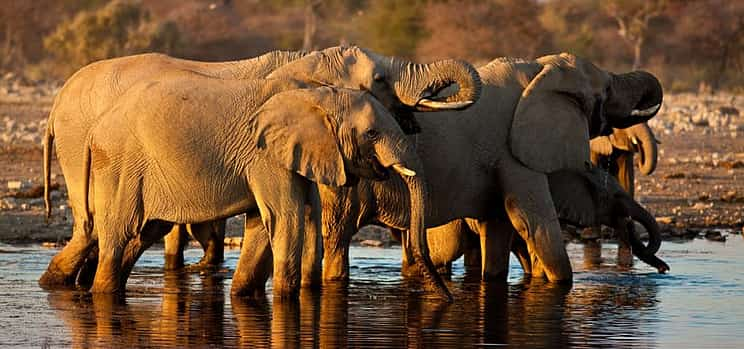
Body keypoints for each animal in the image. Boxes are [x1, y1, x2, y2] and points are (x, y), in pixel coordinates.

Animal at [40, 46, 482, 290]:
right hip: (89, 149)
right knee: (97, 228)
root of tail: (58, 99)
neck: (310, 61)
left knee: (135, 231)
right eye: (379, 79)